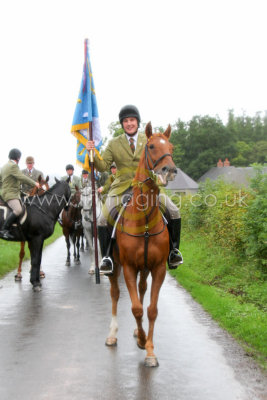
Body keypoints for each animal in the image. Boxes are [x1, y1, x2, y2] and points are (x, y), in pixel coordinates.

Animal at [105, 123, 178, 368]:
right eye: (152, 146)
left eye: (171, 147)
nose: (169, 170)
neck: (144, 220)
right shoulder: (128, 267)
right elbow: (136, 308)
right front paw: (141, 341)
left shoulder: (158, 268)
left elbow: (151, 309)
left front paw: (149, 350)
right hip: (115, 268)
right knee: (115, 294)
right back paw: (112, 334)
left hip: (145, 269)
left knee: (142, 289)